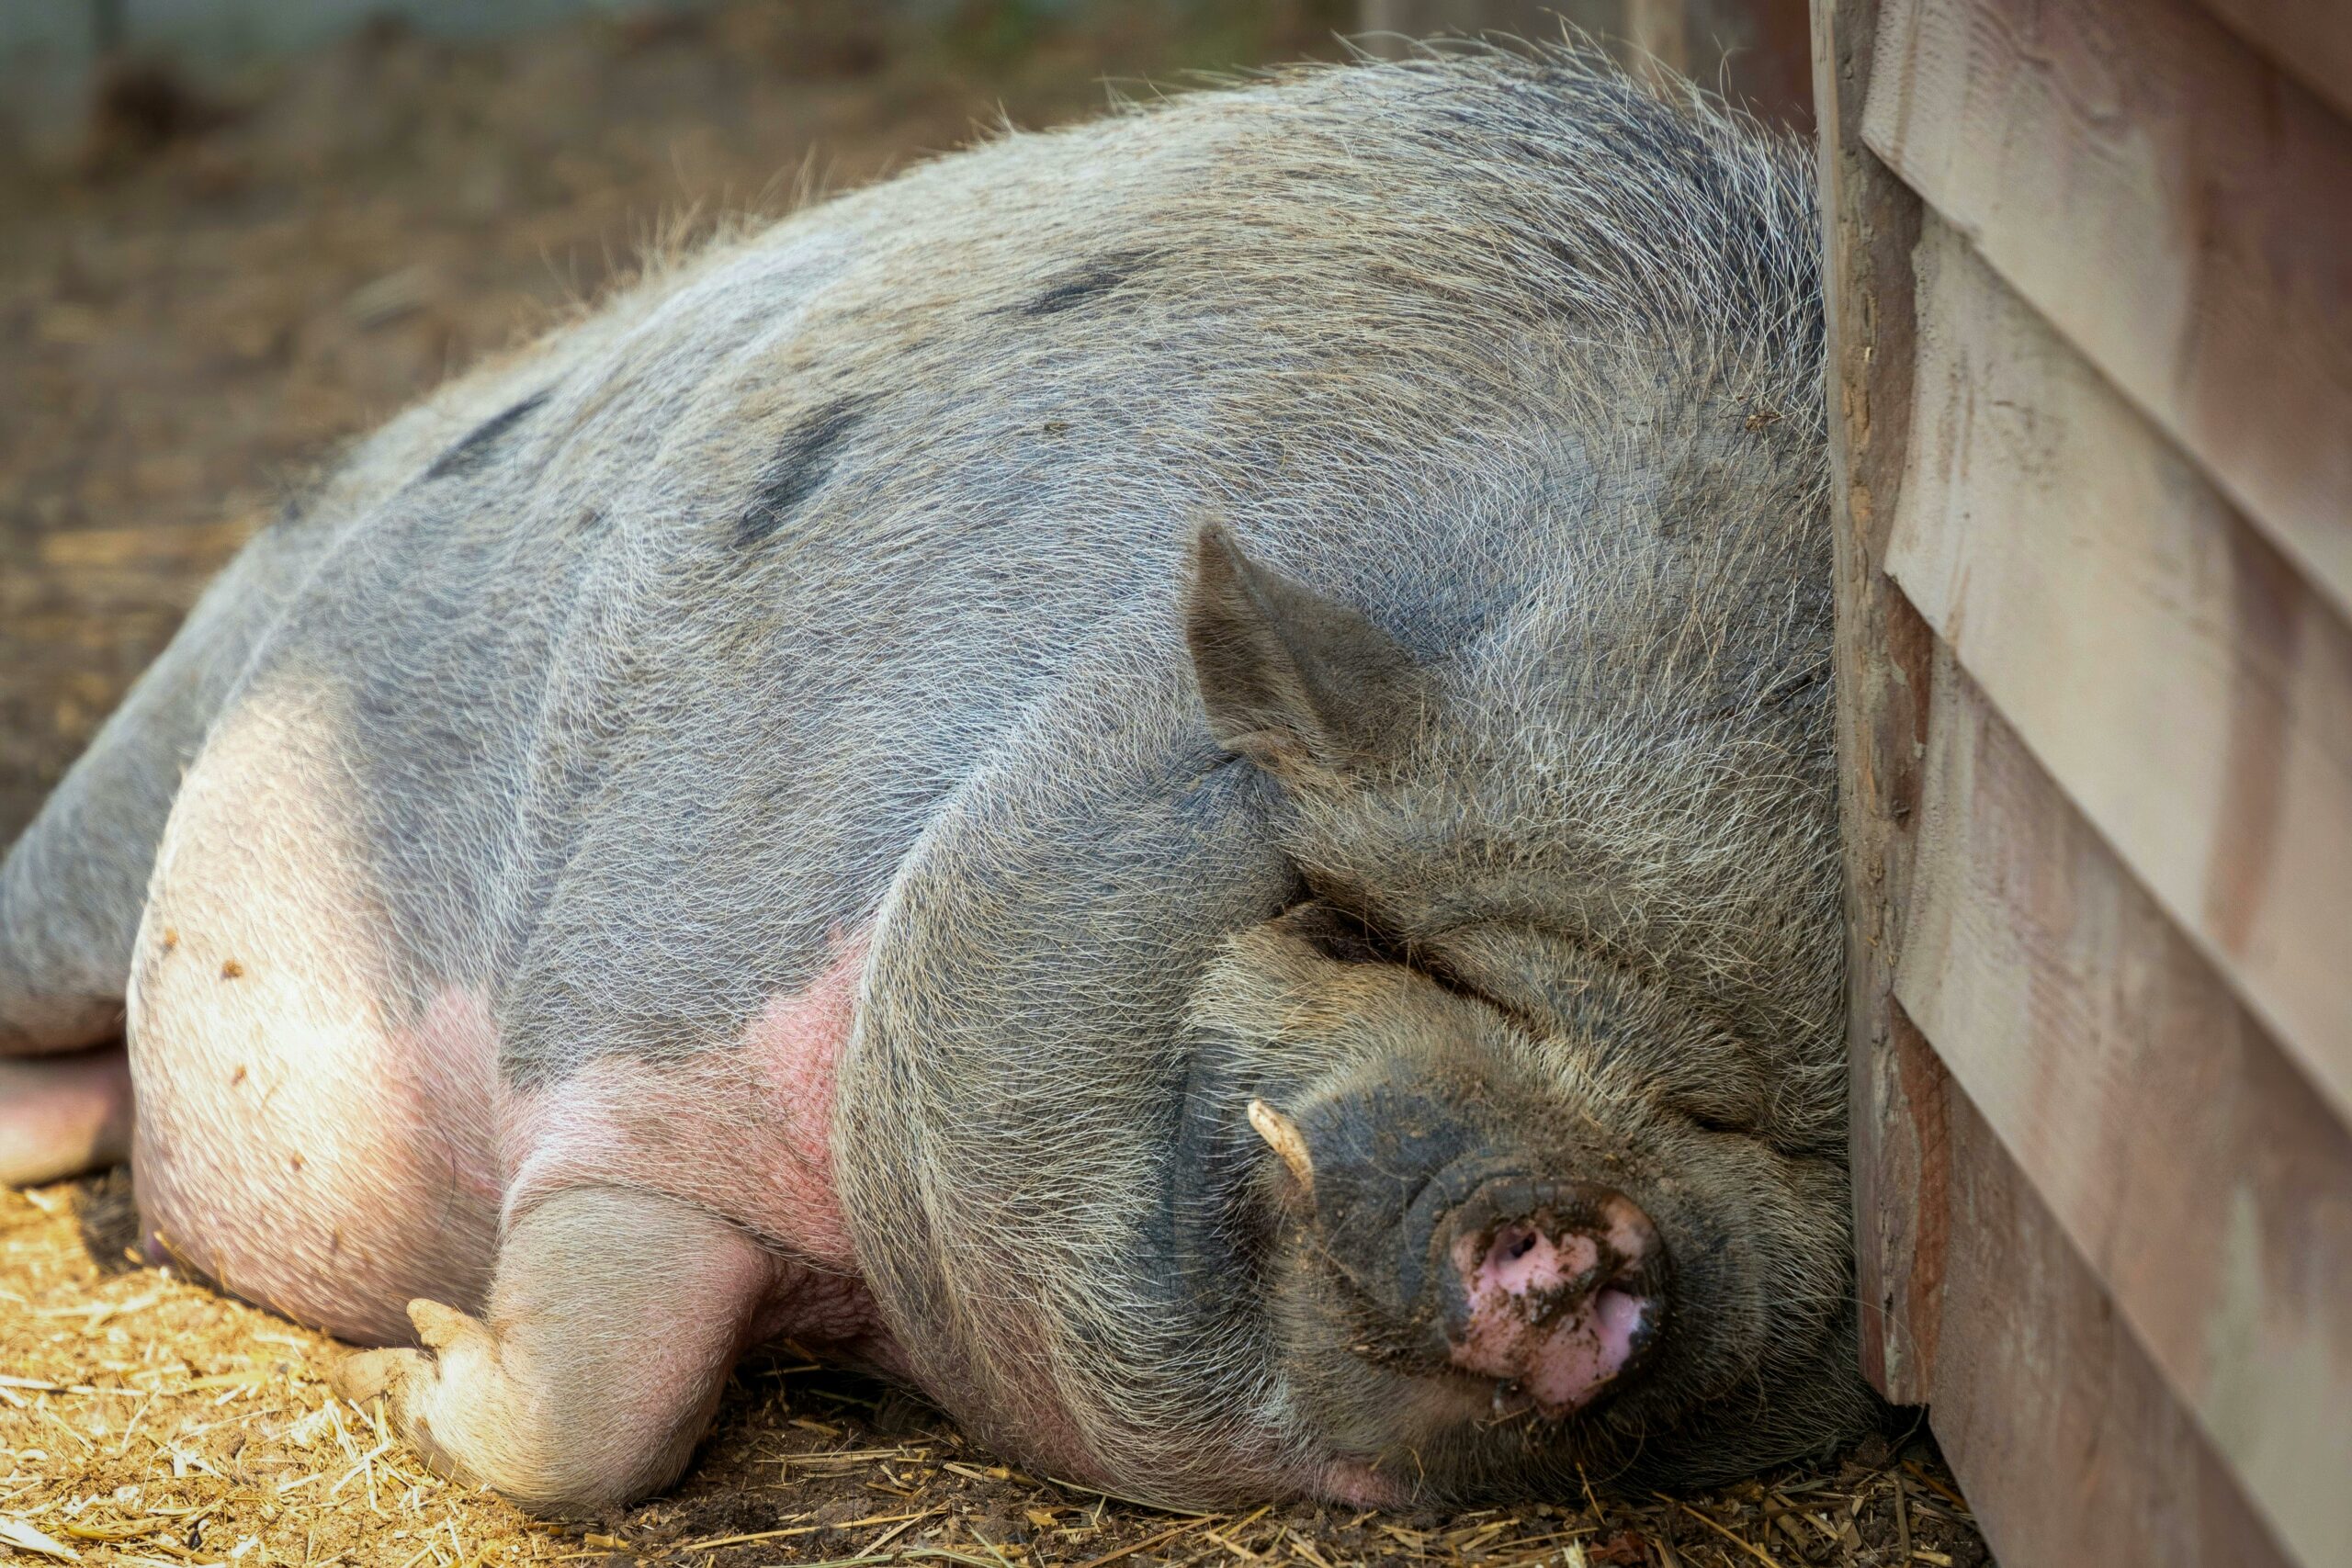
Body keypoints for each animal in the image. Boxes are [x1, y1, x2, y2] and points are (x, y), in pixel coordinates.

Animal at [0, 49, 1871, 1514]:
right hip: (128, 800)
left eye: (1750, 1124)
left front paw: (411, 1344)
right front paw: (408, 1353)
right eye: (1356, 926)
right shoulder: (665, 996)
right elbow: (611, 1390)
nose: (1568, 1232)